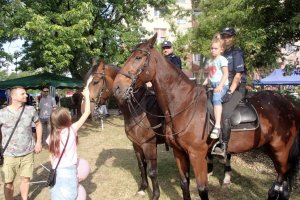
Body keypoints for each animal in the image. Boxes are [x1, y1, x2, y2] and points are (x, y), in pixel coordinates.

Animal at [85, 61, 166, 200]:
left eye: (95, 81)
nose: (91, 112)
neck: (139, 109)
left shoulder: (149, 145)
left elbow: (152, 171)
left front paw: (155, 195)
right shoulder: (136, 145)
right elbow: (141, 166)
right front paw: (142, 188)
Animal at [112, 33, 300, 199]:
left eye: (138, 57)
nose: (117, 87)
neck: (184, 105)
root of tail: (290, 104)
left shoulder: (196, 155)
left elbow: (202, 189)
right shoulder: (178, 153)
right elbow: (184, 183)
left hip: (281, 150)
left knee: (279, 184)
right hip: (271, 149)